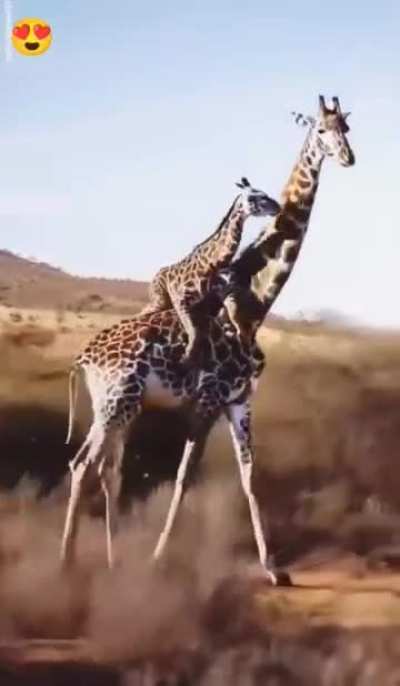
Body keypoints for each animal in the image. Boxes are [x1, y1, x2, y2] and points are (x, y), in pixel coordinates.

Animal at [141, 178, 280, 364]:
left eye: (265, 194)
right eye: (253, 198)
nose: (277, 207)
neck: (211, 265)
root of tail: (156, 275)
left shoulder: (222, 294)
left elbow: (231, 317)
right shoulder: (181, 301)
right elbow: (194, 335)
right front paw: (186, 358)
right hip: (160, 299)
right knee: (143, 312)